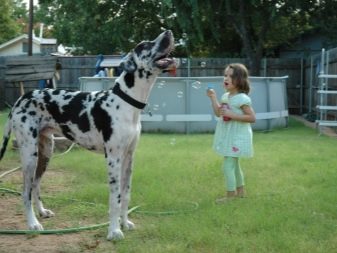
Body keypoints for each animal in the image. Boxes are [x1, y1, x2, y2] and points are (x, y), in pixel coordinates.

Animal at [0, 30, 177, 240]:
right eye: (145, 45)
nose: (168, 32)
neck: (125, 102)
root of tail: (21, 99)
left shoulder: (128, 157)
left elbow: (126, 195)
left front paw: (125, 223)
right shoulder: (114, 158)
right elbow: (115, 198)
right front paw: (114, 231)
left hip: (46, 152)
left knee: (35, 185)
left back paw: (42, 212)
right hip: (29, 155)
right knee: (25, 191)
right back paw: (32, 223)